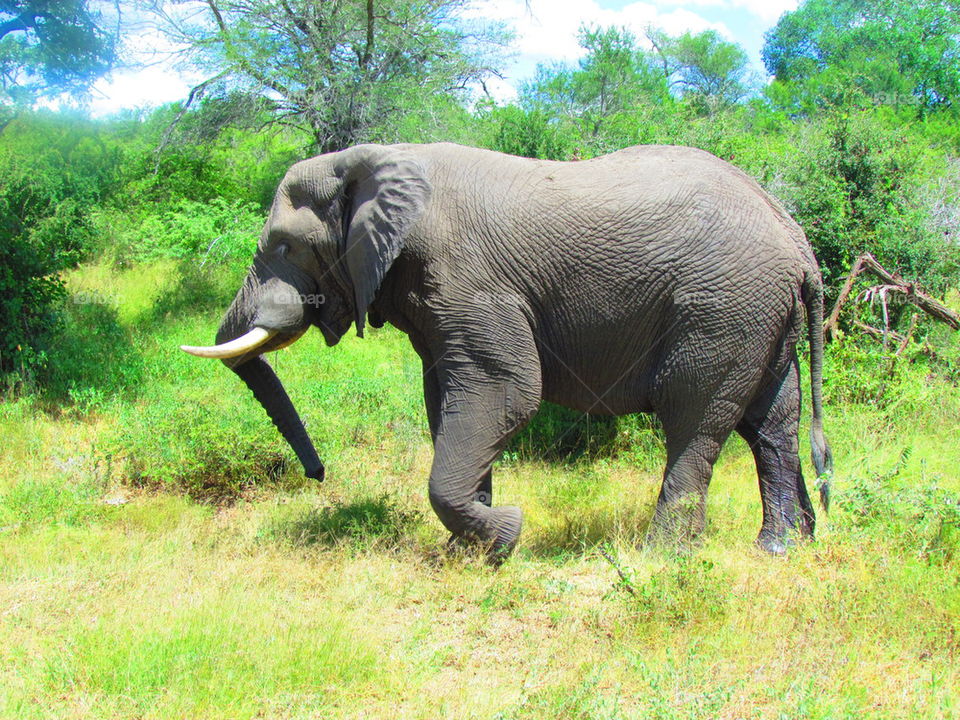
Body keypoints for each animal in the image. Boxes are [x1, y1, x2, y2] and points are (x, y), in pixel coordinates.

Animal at [181, 142, 832, 561]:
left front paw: (506, 537)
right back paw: (782, 550)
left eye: (284, 246)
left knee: (693, 419)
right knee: (774, 421)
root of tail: (796, 239)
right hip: (759, 315)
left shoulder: (469, 281)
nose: (318, 474)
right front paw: (463, 552)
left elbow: (507, 392)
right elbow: (447, 401)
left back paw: (662, 562)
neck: (376, 161)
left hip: (720, 310)